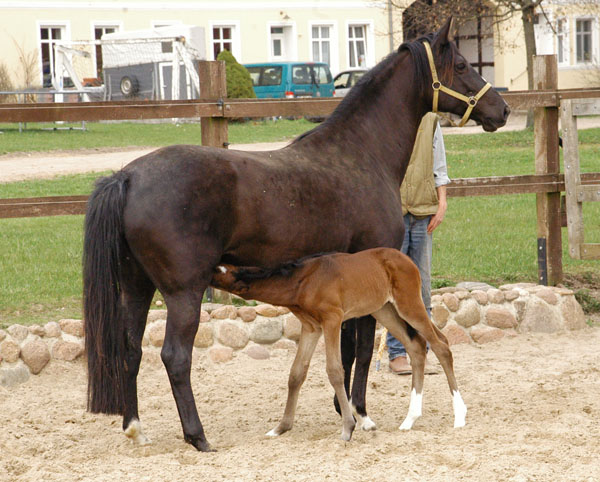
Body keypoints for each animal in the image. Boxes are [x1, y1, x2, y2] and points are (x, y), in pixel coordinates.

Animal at [212, 249, 468, 440]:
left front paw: (348, 427)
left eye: (219, 269)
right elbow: (296, 374)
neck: (302, 280)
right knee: (416, 347)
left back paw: (459, 415)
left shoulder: (332, 320)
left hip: (409, 304)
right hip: (384, 310)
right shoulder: (311, 327)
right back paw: (410, 420)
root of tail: (407, 260)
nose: (204, 271)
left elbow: (335, 371)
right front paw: (281, 428)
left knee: (441, 345)